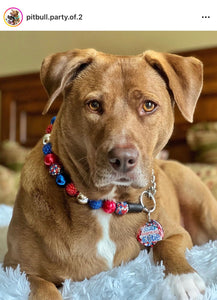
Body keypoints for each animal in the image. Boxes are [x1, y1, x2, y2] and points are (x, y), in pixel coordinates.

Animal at [3, 48, 217, 298]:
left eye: (148, 105)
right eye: (94, 105)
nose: (123, 159)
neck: (107, 201)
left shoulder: (178, 233)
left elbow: (165, 244)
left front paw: (182, 278)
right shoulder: (14, 268)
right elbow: (42, 286)